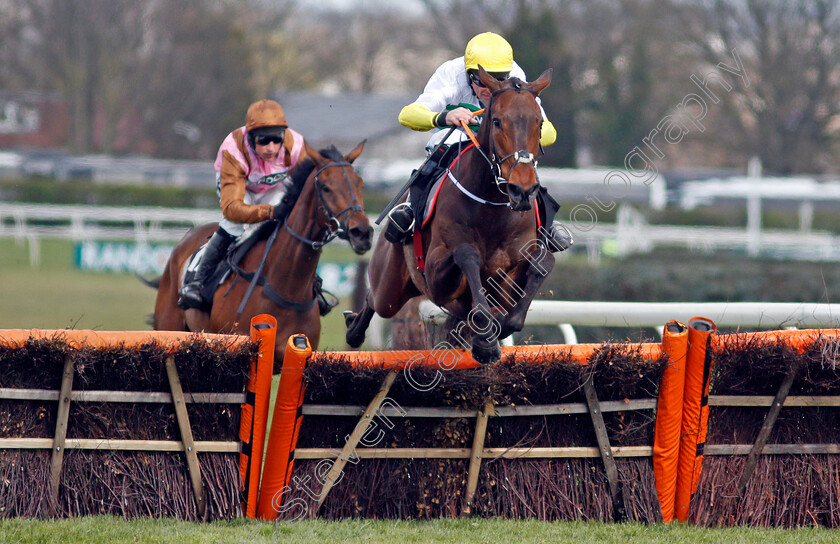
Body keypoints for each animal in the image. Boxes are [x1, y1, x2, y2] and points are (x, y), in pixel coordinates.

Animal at [344, 68, 556, 366]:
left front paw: (489, 335)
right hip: (389, 283)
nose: (522, 190)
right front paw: (486, 342)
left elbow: (542, 265)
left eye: (539, 124)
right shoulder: (436, 275)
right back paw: (353, 327)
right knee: (374, 300)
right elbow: (467, 253)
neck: (492, 209)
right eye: (497, 121)